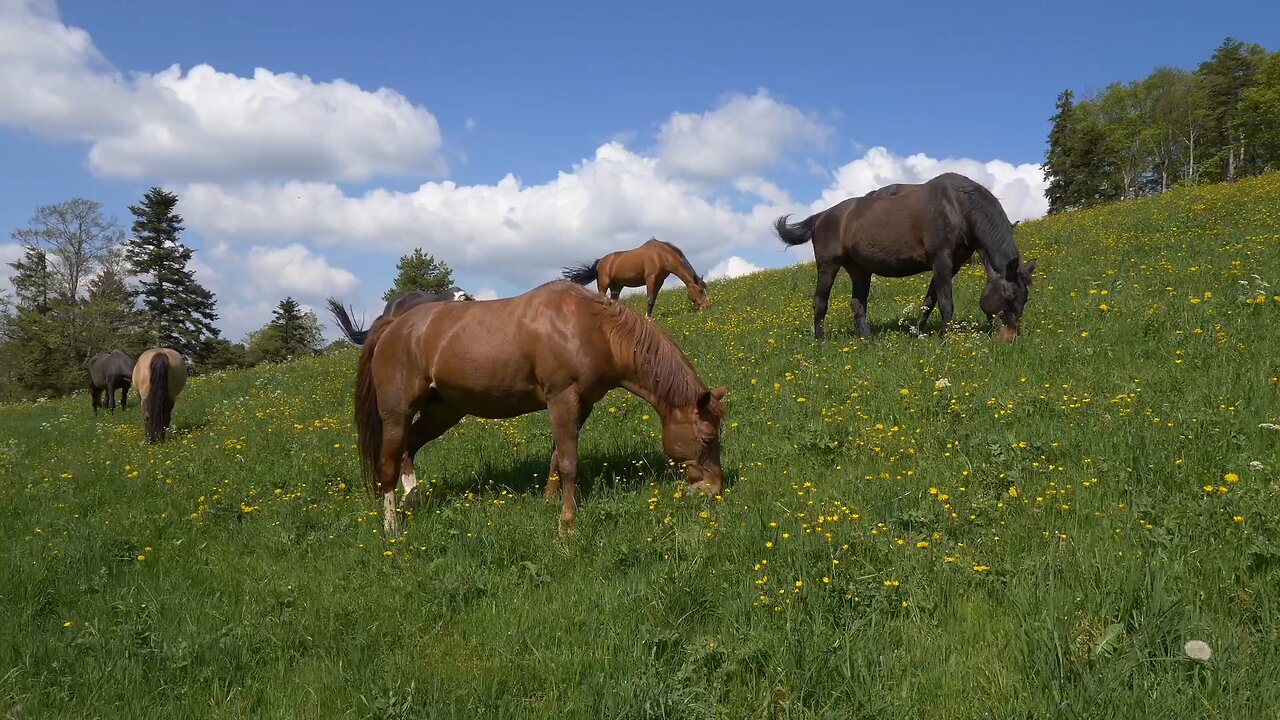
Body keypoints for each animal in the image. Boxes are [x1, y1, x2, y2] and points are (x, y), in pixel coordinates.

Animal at [355, 280, 727, 532]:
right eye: (708, 438)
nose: (714, 490)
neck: (591, 327)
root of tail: (393, 326)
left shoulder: (581, 404)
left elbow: (556, 458)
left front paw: (550, 502)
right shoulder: (562, 398)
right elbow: (570, 462)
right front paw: (568, 524)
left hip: (443, 411)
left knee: (410, 447)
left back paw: (412, 498)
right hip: (397, 412)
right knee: (388, 464)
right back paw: (392, 527)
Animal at [568, 238, 716, 313]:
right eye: (700, 290)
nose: (707, 306)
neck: (661, 256)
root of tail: (600, 262)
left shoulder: (659, 281)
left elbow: (653, 300)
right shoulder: (650, 278)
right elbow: (650, 299)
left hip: (617, 287)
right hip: (603, 285)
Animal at [773, 172, 1034, 340]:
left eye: (1025, 299)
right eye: (1009, 296)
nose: (1010, 339)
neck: (959, 207)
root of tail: (820, 216)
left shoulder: (951, 265)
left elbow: (929, 302)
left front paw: (918, 333)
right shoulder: (942, 261)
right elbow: (945, 303)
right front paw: (946, 339)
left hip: (860, 270)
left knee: (858, 304)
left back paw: (867, 342)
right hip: (828, 266)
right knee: (820, 303)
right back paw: (821, 343)